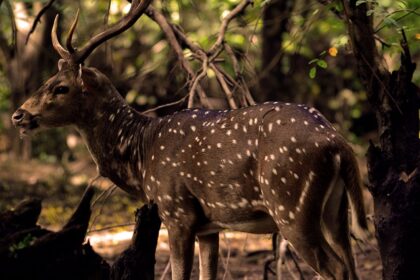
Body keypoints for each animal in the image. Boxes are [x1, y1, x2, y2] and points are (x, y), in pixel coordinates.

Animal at [11, 1, 368, 278]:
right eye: (48, 79)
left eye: (61, 87)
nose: (18, 115)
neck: (141, 156)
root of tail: (337, 143)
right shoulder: (210, 226)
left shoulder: (177, 211)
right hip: (336, 211)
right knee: (350, 263)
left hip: (290, 203)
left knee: (335, 268)